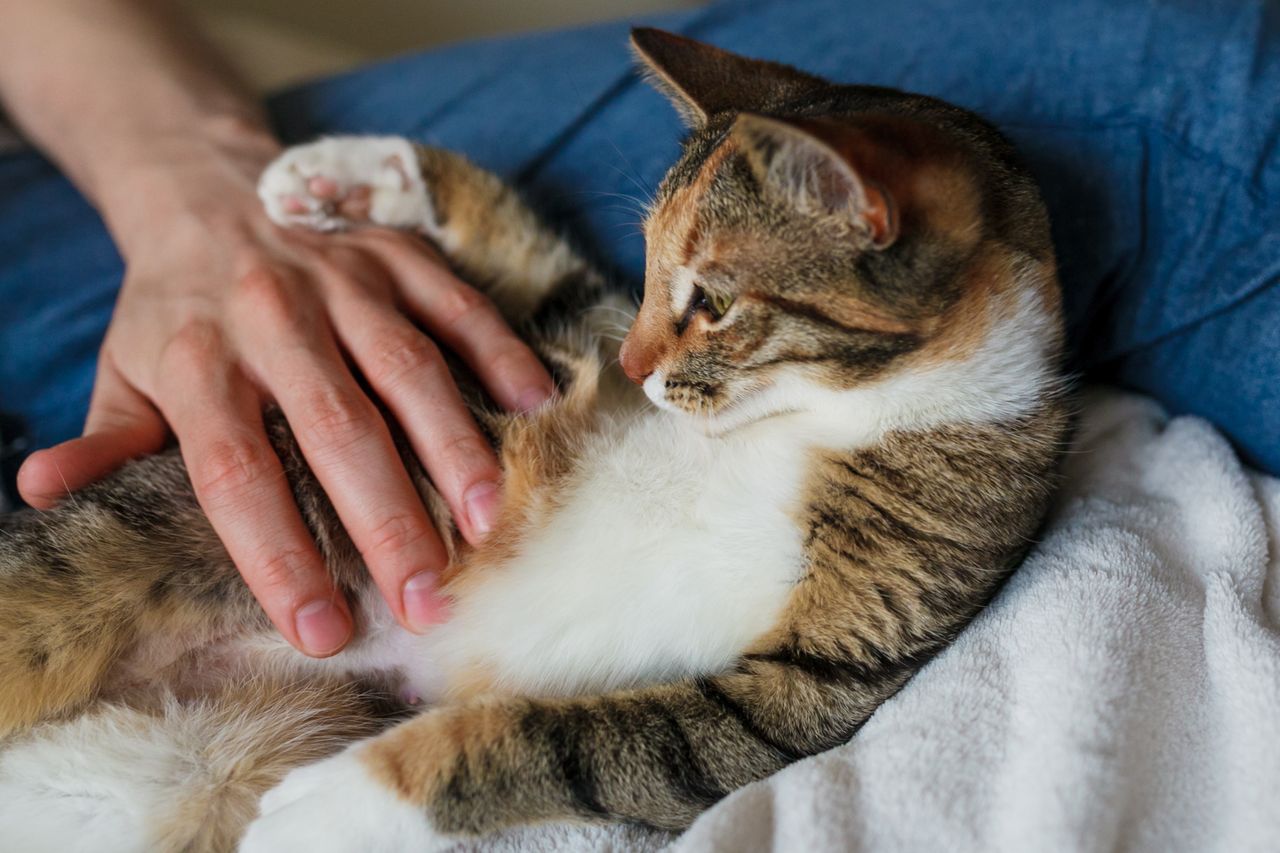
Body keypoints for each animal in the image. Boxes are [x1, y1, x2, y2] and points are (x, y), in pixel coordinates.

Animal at [0, 28, 1070, 850]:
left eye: (713, 301)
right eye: (648, 270)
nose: (637, 361)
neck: (820, 413)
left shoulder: (825, 676)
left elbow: (576, 743)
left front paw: (344, 798)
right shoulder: (575, 342)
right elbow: (546, 275)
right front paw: (350, 175)